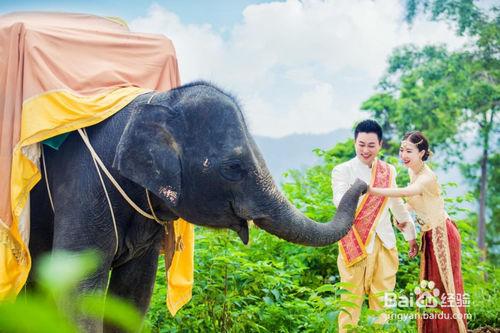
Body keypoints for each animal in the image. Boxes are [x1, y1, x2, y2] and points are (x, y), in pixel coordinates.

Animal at [30, 81, 368, 332]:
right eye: (233, 167)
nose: (364, 184)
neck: (154, 102)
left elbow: (134, 293)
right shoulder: (84, 186)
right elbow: (78, 288)